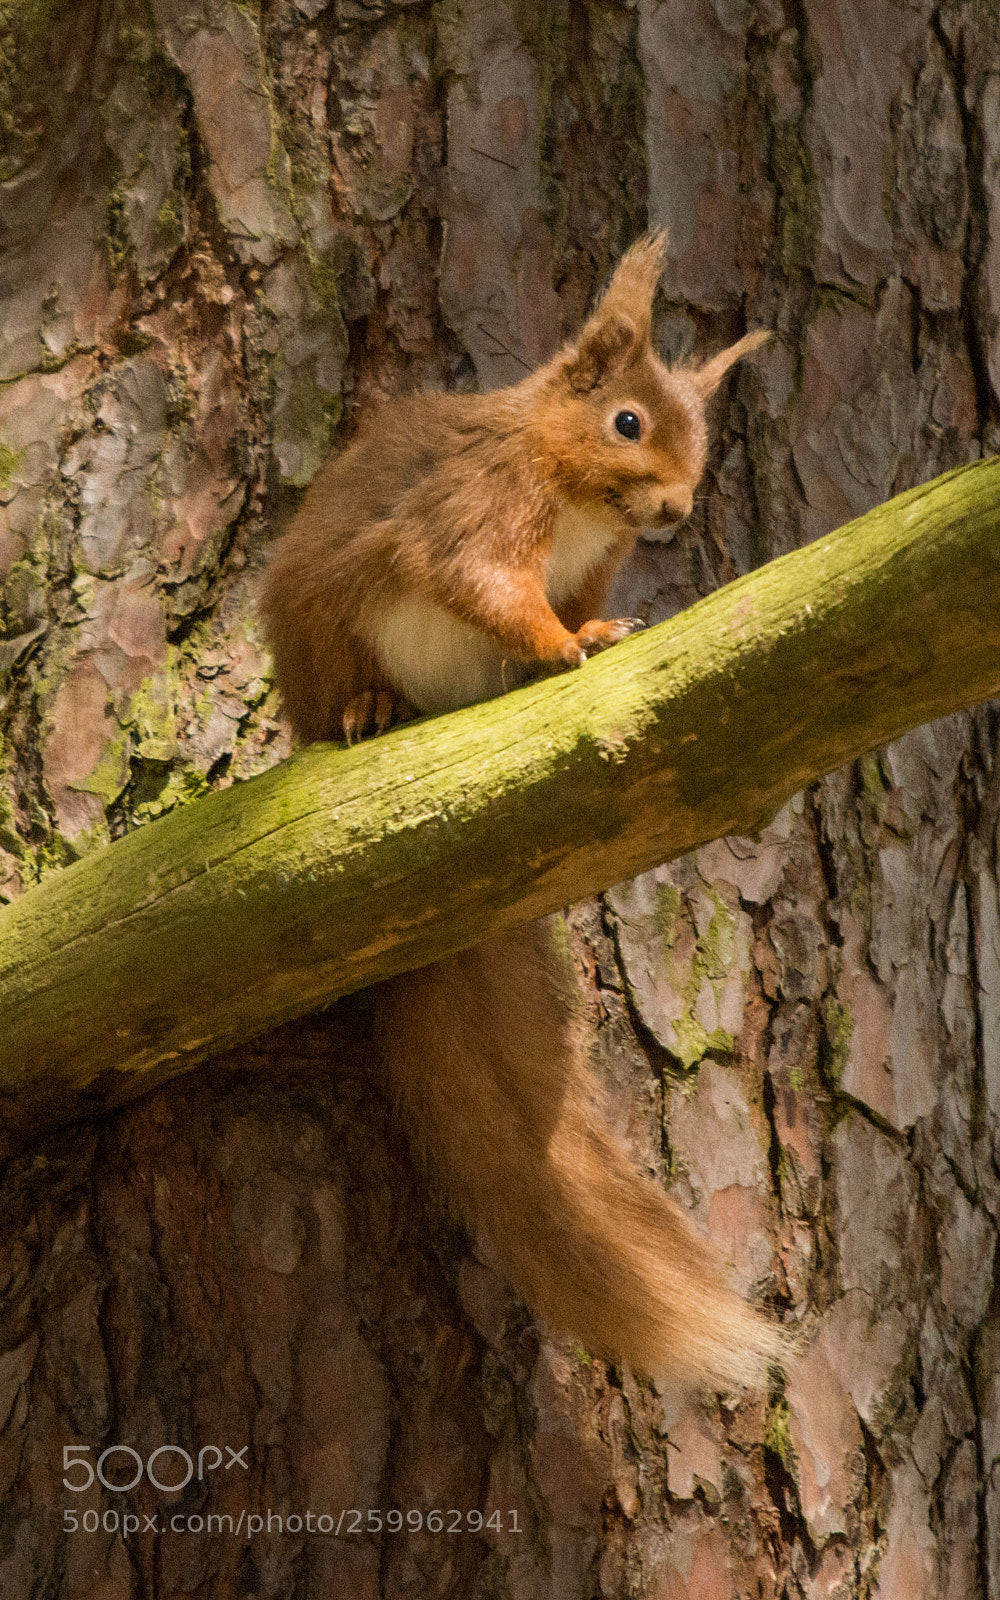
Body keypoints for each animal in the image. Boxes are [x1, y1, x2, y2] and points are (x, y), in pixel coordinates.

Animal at [262, 235, 789, 1389]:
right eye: (627, 423)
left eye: (701, 441)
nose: (676, 512)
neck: (583, 501)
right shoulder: (480, 506)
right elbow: (484, 582)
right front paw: (558, 646)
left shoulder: (592, 562)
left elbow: (578, 600)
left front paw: (597, 631)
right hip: (327, 629)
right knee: (355, 682)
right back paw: (372, 707)